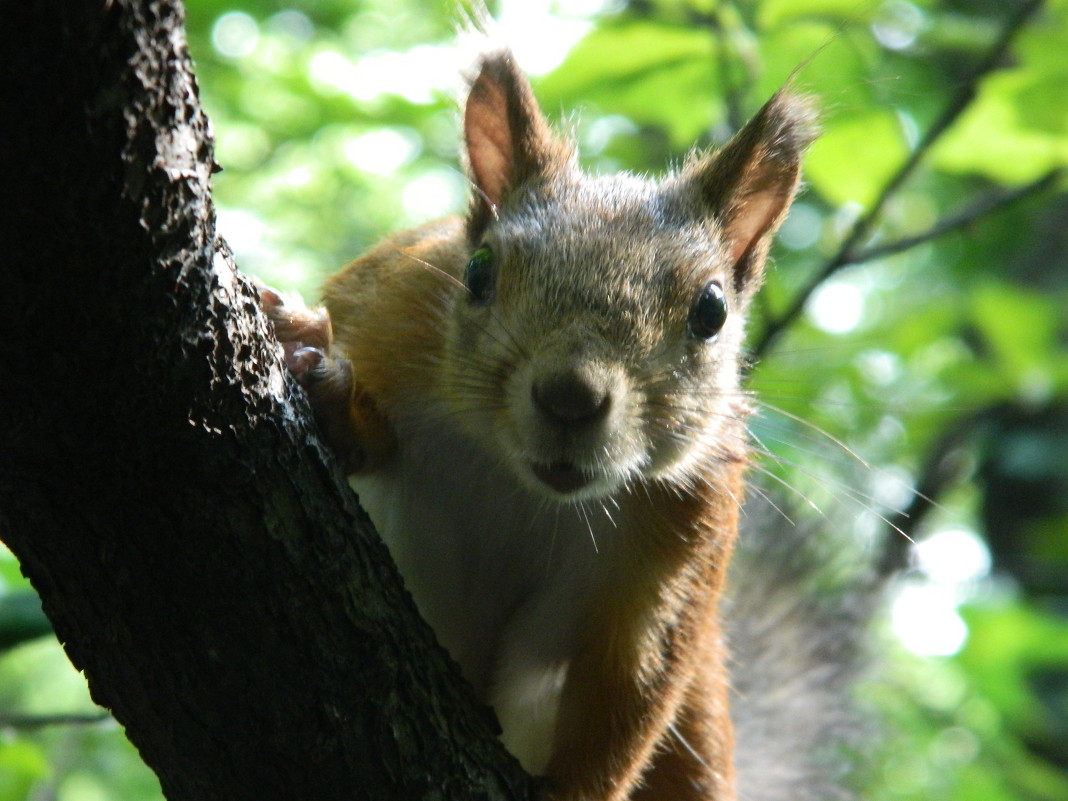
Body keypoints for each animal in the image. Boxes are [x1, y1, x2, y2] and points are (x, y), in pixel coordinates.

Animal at [258, 50, 815, 801]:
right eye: (477, 271)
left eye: (712, 310)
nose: (570, 397)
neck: (518, 480)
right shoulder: (390, 303)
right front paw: (327, 382)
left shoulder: (685, 530)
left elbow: (627, 689)